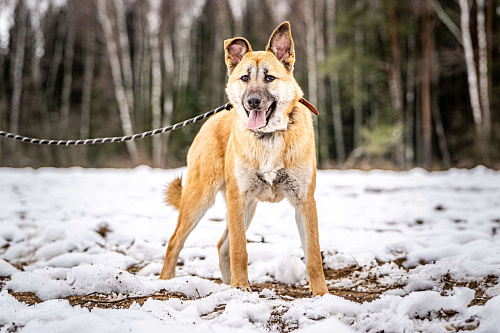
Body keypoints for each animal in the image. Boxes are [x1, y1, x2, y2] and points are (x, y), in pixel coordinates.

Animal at [160, 21, 330, 296]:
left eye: (269, 77)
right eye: (244, 78)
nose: (253, 101)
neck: (268, 137)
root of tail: (212, 119)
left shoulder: (304, 201)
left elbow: (313, 255)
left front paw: (321, 294)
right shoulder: (238, 198)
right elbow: (240, 250)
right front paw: (241, 287)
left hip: (246, 207)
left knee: (222, 245)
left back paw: (227, 285)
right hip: (202, 199)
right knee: (176, 242)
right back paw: (167, 281)